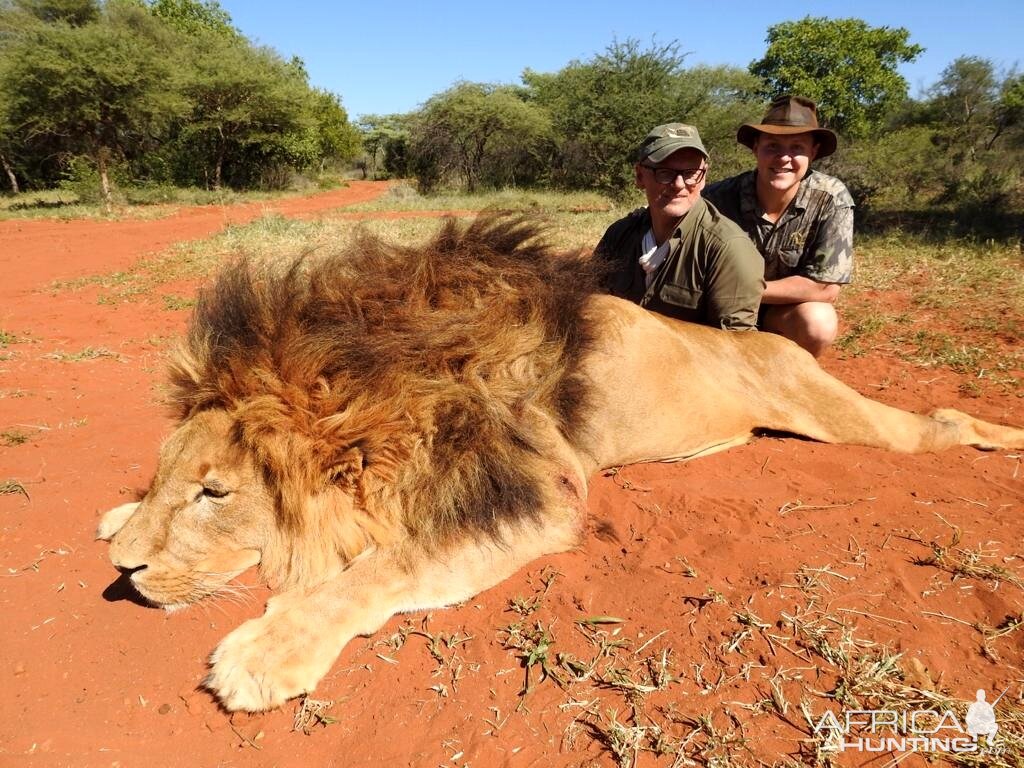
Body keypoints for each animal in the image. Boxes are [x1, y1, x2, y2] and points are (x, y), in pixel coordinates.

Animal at [96, 211, 1024, 716]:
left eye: (216, 493)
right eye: (171, 474)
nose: (125, 571)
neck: (391, 370)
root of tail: (763, 339)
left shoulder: (542, 492)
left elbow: (384, 568)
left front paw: (262, 654)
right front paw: (118, 516)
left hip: (836, 414)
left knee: (937, 422)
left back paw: (1004, 438)